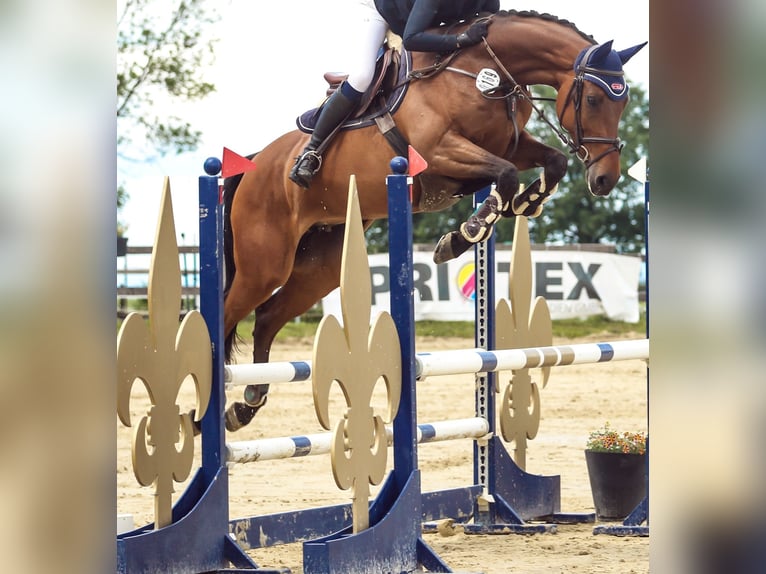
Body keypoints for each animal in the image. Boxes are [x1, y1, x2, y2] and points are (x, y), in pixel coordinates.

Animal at [218, 10, 646, 431]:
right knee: (225, 316)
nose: (605, 179)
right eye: (592, 99)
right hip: (265, 265)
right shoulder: (440, 149)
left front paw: (519, 205)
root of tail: (254, 164)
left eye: (624, 103)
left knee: (266, 318)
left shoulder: (509, 143)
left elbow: (548, 163)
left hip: (319, 267)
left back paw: (246, 404)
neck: (486, 71)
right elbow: (506, 173)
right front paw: (468, 231)